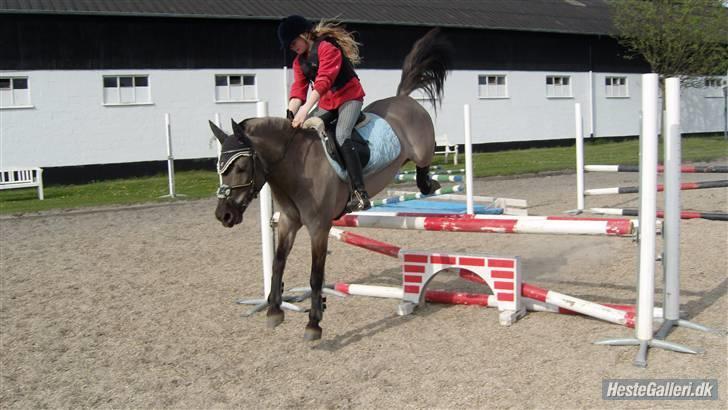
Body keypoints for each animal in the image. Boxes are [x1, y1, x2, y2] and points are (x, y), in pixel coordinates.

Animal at [208, 28, 452, 342]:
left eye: (239, 168)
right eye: (219, 169)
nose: (223, 215)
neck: (294, 165)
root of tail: (402, 100)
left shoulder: (318, 227)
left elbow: (316, 275)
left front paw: (313, 324)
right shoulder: (287, 221)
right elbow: (278, 263)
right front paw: (274, 310)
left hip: (421, 149)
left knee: (424, 164)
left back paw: (430, 184)